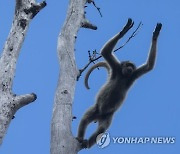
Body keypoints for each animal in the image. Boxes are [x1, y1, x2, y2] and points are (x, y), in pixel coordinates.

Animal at [76, 18, 162, 149]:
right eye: (128, 65)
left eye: (132, 66)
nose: (130, 68)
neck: (123, 76)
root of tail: (99, 115)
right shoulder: (116, 68)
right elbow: (105, 52)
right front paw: (124, 30)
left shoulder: (133, 75)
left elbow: (149, 66)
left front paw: (155, 35)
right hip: (97, 109)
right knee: (85, 119)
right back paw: (81, 138)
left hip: (107, 116)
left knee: (101, 129)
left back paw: (87, 143)